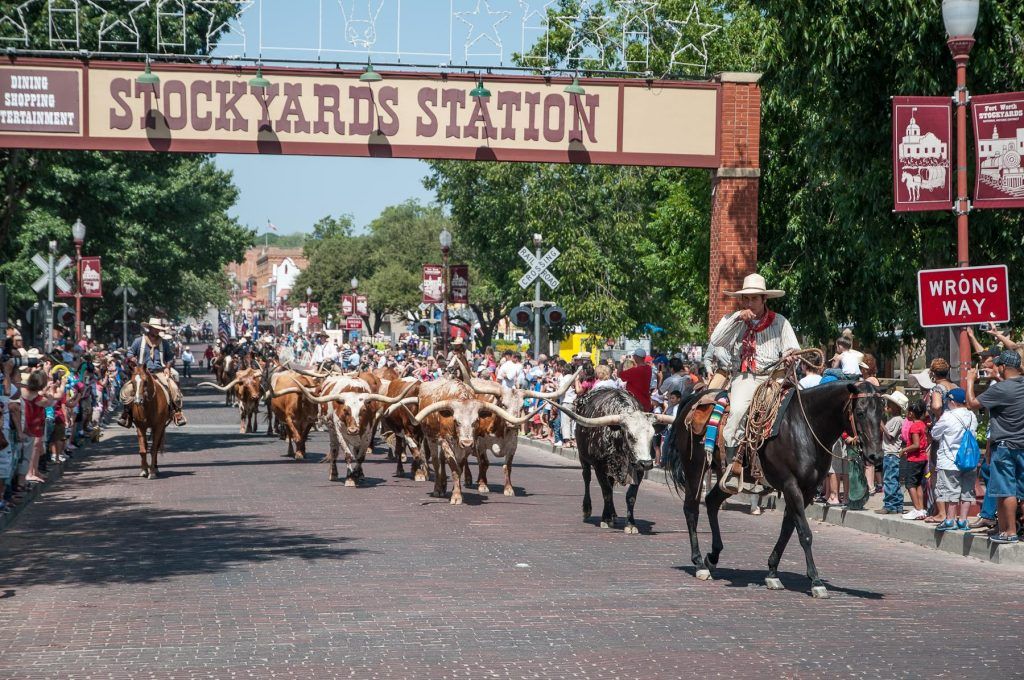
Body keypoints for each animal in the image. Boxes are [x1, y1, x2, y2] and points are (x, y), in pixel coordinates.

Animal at [667, 378, 884, 598]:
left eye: (882, 413)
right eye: (860, 412)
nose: (875, 456)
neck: (806, 427)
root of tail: (694, 398)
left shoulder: (806, 490)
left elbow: (788, 529)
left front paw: (772, 572)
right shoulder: (791, 486)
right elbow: (804, 532)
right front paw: (815, 581)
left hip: (726, 479)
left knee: (711, 502)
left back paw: (712, 557)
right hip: (695, 468)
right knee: (691, 509)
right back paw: (699, 563)